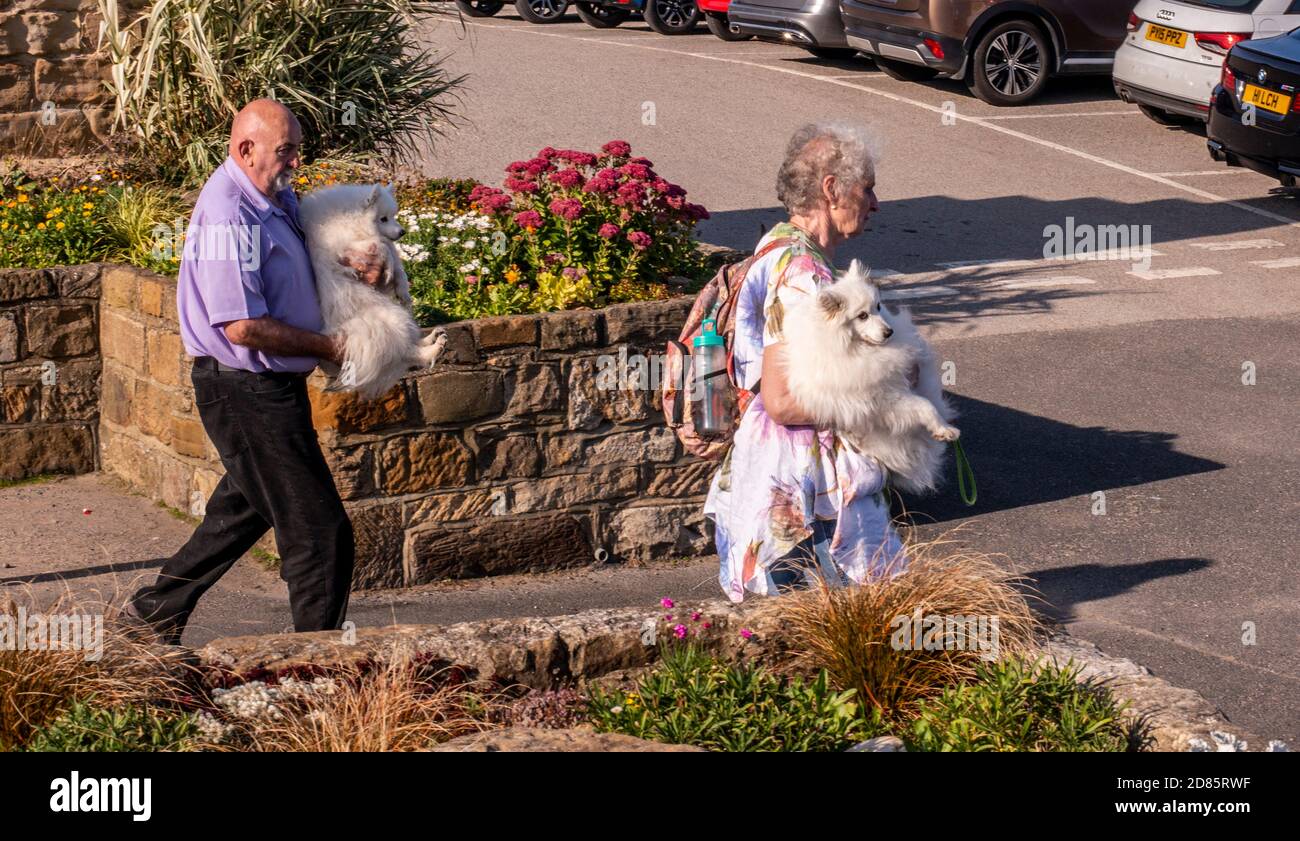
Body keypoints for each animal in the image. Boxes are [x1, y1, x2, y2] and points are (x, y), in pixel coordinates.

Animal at [297, 181, 444, 400]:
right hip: (387, 320)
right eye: (382, 218)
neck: (351, 216)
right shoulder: (348, 246)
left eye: (393, 216)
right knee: (405, 352)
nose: (402, 232)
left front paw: (402, 287)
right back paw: (433, 348)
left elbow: (394, 257)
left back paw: (431, 338)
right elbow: (383, 247)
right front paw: (388, 269)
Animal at [780, 258, 956, 493]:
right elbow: (925, 406)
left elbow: (929, 403)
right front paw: (944, 429)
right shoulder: (883, 399)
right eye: (862, 316)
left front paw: (943, 428)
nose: (889, 332)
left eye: (878, 307)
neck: (853, 347)